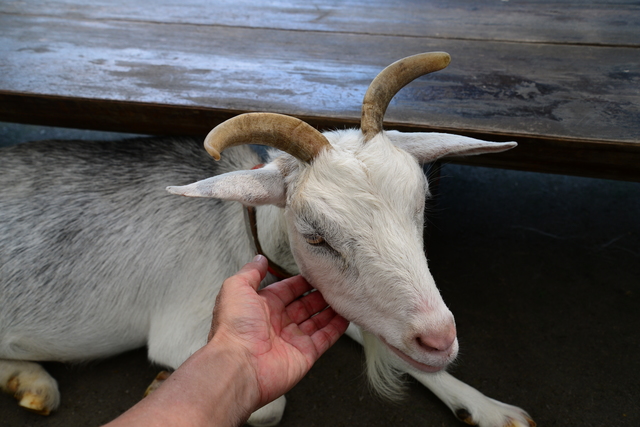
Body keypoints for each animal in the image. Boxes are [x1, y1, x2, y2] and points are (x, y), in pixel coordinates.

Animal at [0, 51, 536, 426]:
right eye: (316, 237)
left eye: (422, 202)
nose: (438, 337)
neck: (247, 231)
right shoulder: (181, 326)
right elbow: (271, 405)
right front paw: (161, 386)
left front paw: (488, 407)